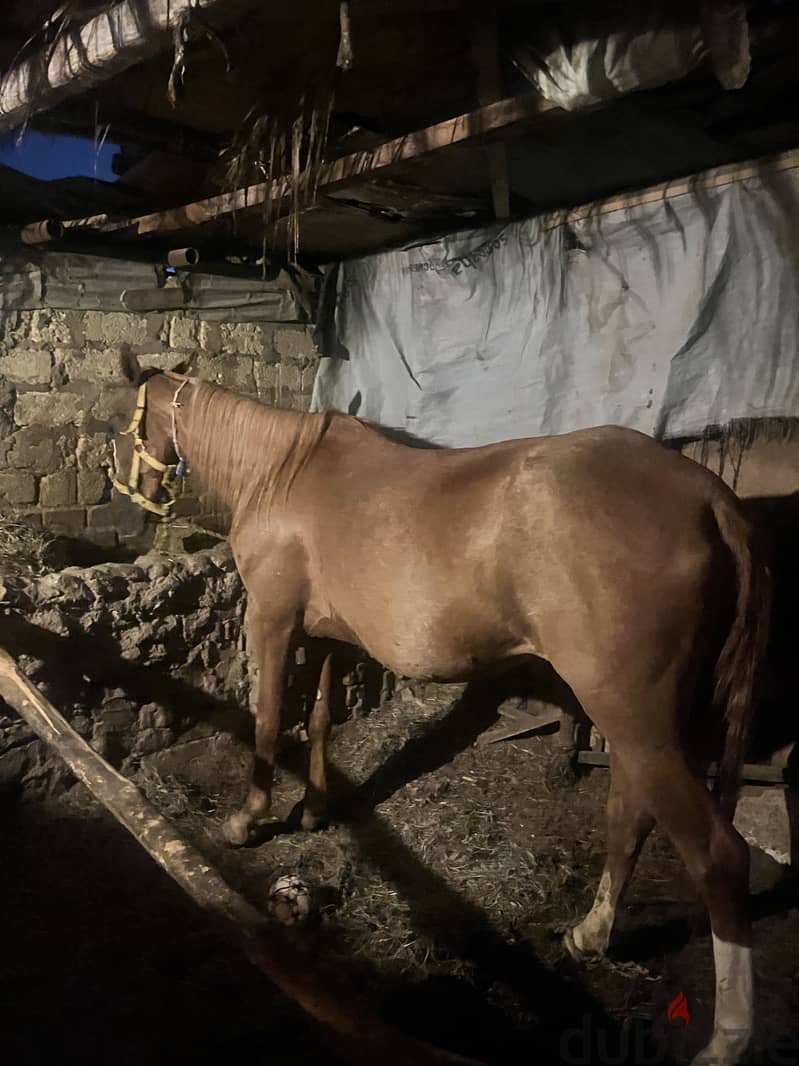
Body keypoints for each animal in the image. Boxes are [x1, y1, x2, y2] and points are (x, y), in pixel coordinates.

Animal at [112, 353, 770, 1066]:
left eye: (128, 418)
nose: (132, 494)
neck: (283, 471)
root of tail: (708, 497)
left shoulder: (272, 618)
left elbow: (266, 718)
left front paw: (247, 818)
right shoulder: (328, 635)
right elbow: (318, 719)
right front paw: (313, 809)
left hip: (632, 716)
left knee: (718, 855)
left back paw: (728, 1037)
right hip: (640, 720)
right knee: (630, 815)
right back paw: (590, 933)